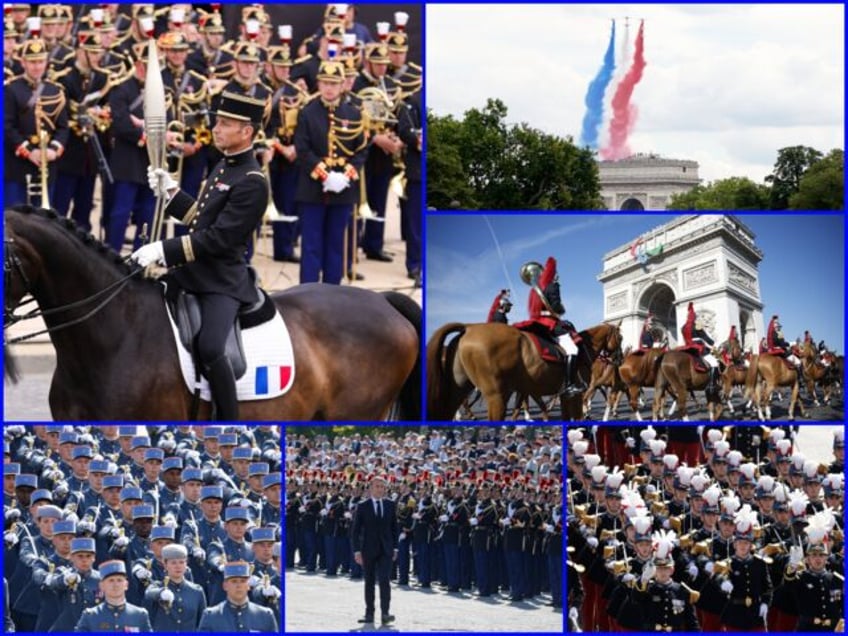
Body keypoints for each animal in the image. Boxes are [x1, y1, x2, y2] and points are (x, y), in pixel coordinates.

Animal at [428, 320, 620, 420]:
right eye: (621, 336)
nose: (618, 359)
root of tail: (468, 327)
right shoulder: (574, 393)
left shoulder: (542, 392)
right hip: (496, 395)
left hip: (459, 391)